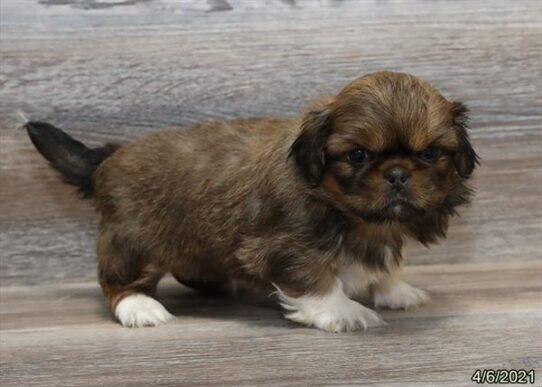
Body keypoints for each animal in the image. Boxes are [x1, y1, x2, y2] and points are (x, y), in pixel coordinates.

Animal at [26, 72, 480, 334]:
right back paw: (140, 307)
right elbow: (317, 278)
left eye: (430, 154)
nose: (398, 173)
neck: (359, 218)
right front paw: (342, 311)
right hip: (134, 242)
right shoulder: (286, 247)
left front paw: (393, 287)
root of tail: (110, 155)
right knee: (116, 283)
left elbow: (384, 262)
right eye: (358, 155)